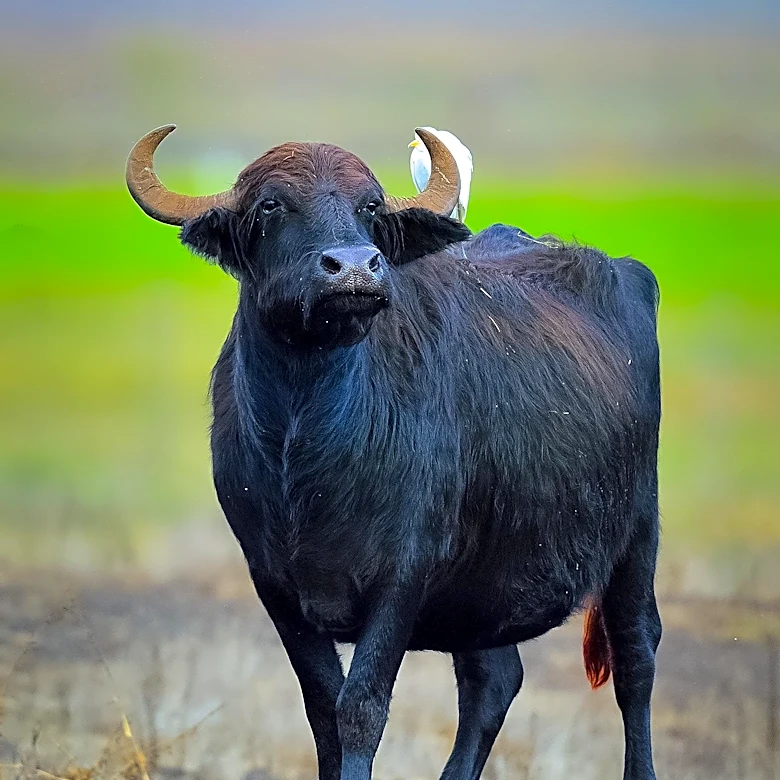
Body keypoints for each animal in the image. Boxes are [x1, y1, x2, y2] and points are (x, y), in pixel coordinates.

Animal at [126, 125, 662, 780]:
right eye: (271, 205)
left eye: (371, 208)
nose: (354, 268)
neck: (307, 452)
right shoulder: (274, 584)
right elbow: (323, 708)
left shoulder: (403, 576)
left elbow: (361, 707)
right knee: (493, 679)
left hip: (637, 532)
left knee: (636, 657)